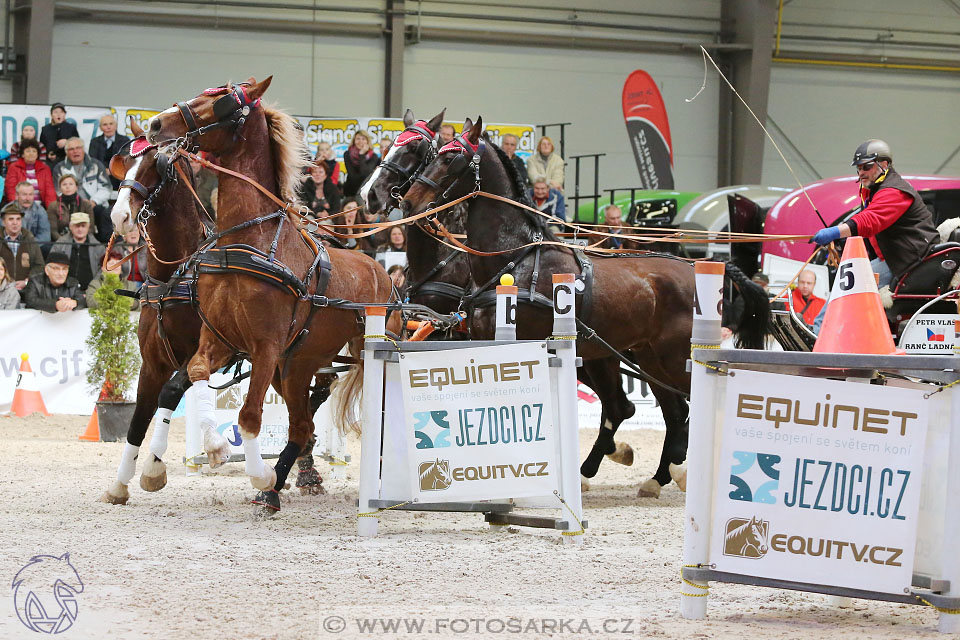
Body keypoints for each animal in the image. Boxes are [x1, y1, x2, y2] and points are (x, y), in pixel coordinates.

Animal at [138, 77, 394, 512]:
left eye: (223, 102)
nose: (156, 124)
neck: (250, 241)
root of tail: (381, 270)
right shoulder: (221, 341)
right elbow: (196, 374)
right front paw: (215, 450)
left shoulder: (266, 347)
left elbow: (250, 417)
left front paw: (258, 472)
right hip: (297, 365)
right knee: (302, 425)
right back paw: (275, 489)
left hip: (352, 354)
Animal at [402, 121, 768, 500]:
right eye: (435, 154)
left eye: (452, 158)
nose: (409, 200)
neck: (514, 258)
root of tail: (696, 266)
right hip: (648, 357)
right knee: (671, 409)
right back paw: (654, 478)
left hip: (671, 356)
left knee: (684, 404)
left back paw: (682, 469)